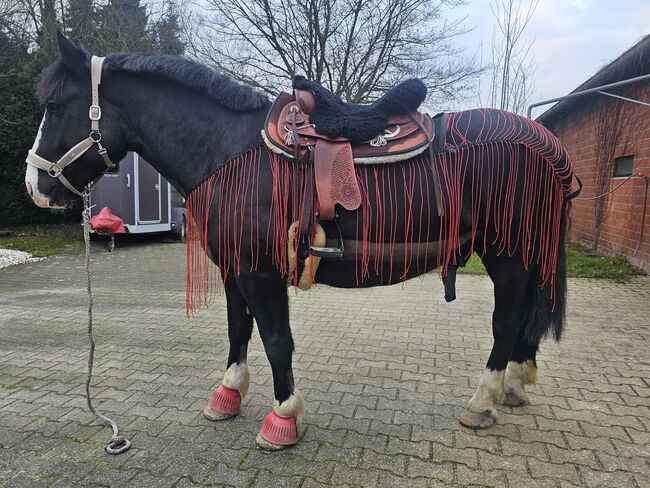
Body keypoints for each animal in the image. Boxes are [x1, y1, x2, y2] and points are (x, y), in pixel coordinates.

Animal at [25, 31, 576, 450]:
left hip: (507, 254)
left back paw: (482, 401)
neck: (229, 150)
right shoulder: (235, 268)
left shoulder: (260, 271)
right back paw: (514, 385)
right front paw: (227, 395)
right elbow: (238, 330)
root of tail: (545, 144)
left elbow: (275, 341)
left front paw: (282, 418)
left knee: (506, 322)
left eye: (54, 104)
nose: (36, 188)